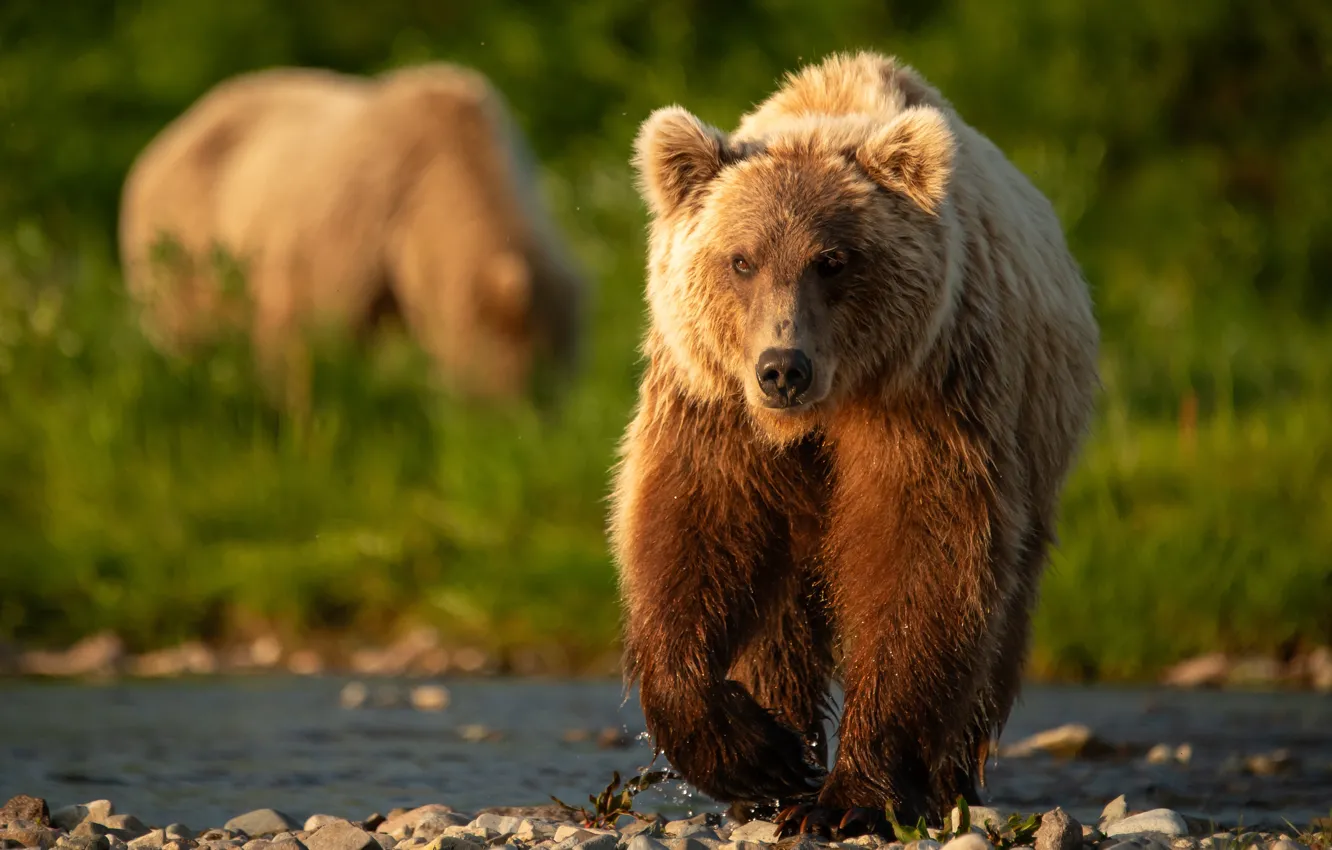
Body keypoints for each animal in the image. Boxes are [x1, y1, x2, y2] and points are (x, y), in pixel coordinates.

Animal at [118, 62, 588, 404]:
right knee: (187, 330)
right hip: (185, 236)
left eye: (564, 384)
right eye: (531, 382)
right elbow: (303, 332)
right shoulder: (354, 225)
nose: (533, 433)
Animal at [608, 51, 1100, 838]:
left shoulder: (928, 392)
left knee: (999, 617)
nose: (783, 367)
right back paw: (777, 762)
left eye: (832, 260)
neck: (822, 413)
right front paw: (755, 755)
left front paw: (852, 796)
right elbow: (689, 531)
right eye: (740, 260)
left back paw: (947, 778)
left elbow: (922, 557)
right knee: (778, 616)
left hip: (1036, 441)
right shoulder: (715, 408)